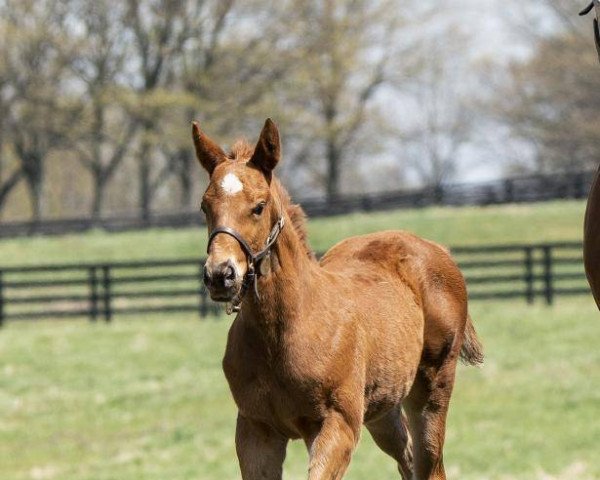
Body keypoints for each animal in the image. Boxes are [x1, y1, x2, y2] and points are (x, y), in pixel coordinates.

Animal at [192, 118, 482, 478]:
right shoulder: (256, 429)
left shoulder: (337, 424)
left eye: (258, 206)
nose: (220, 275)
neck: (286, 328)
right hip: (382, 406)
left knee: (430, 463)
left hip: (431, 390)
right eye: (205, 206)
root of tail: (436, 248)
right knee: (408, 458)